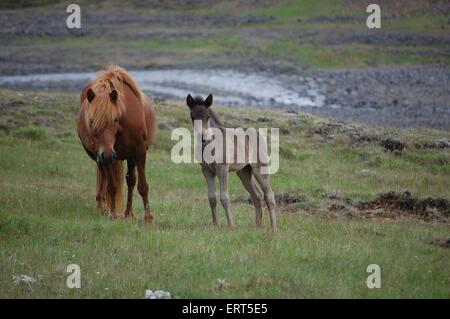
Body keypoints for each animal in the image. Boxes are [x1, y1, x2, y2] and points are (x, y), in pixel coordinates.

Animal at [79, 65, 158, 225]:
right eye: (91, 120)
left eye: (115, 119)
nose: (108, 154)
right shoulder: (106, 156)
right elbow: (112, 186)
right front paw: (113, 214)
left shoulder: (139, 151)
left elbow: (142, 186)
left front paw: (148, 219)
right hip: (101, 158)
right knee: (104, 178)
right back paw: (103, 207)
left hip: (128, 156)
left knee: (130, 181)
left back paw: (128, 214)